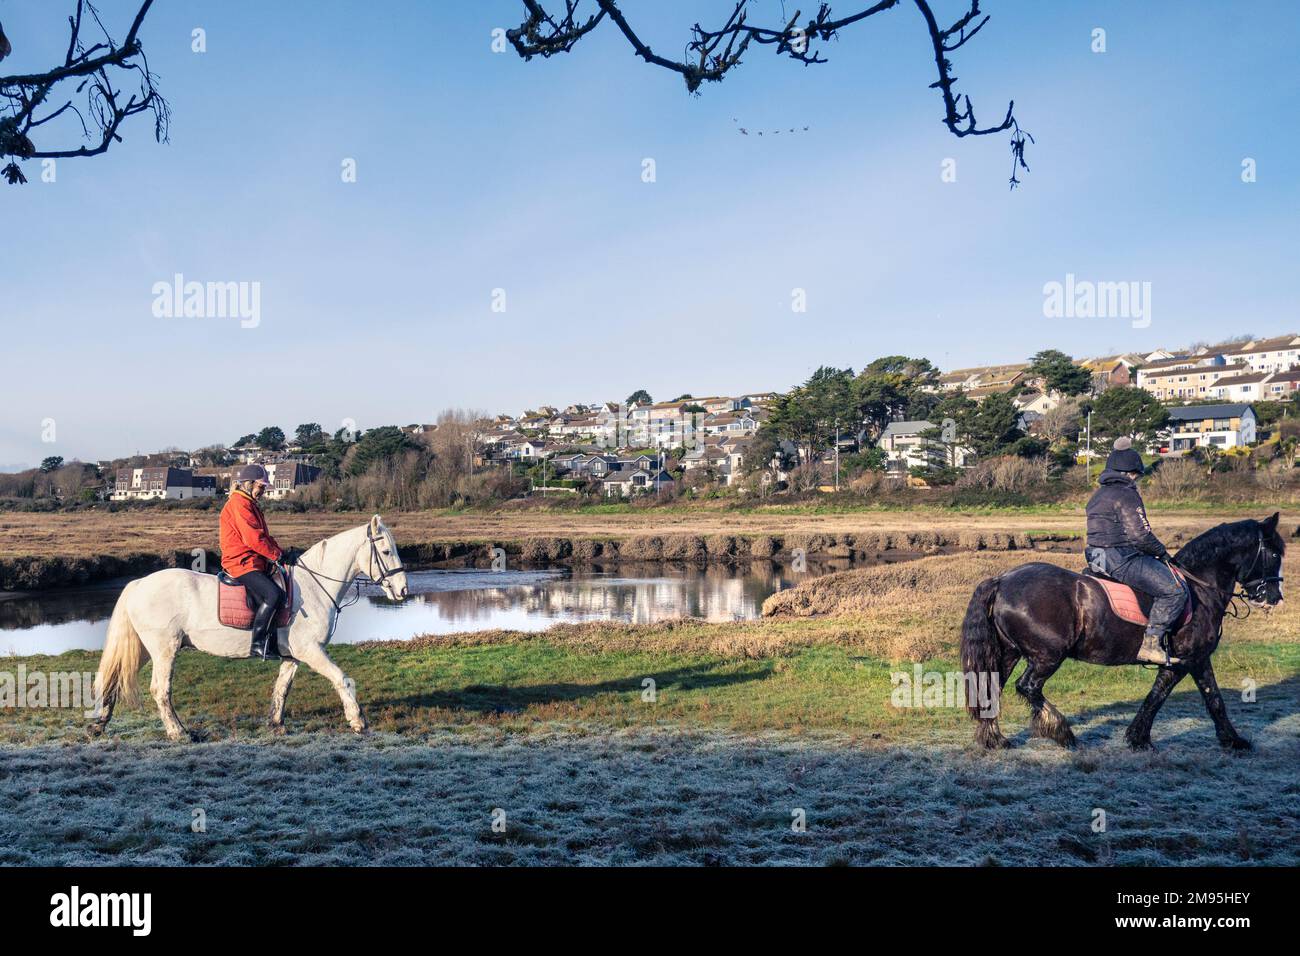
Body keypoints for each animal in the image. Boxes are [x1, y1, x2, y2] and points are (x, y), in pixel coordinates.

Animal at [90, 515, 409, 741]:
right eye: (385, 551)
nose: (403, 590)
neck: (314, 586)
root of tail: (139, 583)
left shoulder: (294, 656)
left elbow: (282, 688)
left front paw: (276, 723)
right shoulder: (311, 651)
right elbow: (343, 679)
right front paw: (358, 721)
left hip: (144, 649)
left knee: (113, 679)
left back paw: (99, 724)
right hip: (164, 650)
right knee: (160, 690)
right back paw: (178, 732)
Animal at [959, 513, 1284, 751]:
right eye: (1273, 553)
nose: (1274, 597)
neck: (1199, 588)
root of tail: (1003, 580)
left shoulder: (1191, 661)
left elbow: (1201, 698)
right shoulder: (1188, 660)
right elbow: (1174, 697)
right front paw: (1140, 738)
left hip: (1010, 652)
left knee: (991, 688)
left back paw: (995, 739)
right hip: (1046, 656)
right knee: (1028, 687)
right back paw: (1062, 731)